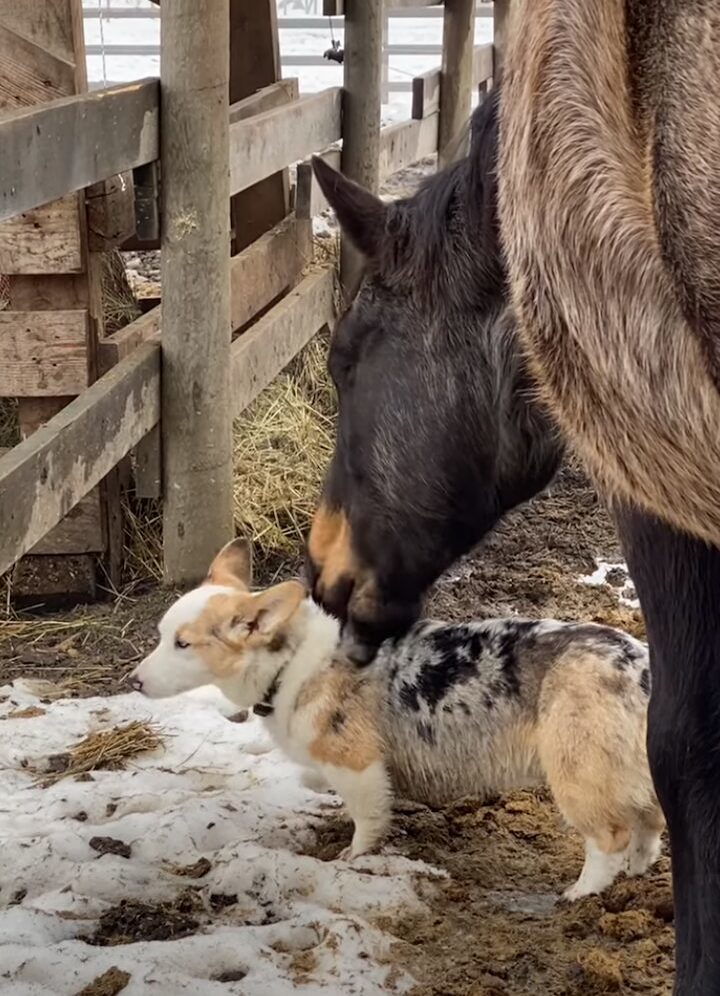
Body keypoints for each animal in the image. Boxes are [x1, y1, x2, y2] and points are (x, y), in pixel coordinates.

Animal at [131, 540, 664, 900]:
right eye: (161, 635)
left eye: (183, 643)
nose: (133, 682)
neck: (290, 662)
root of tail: (640, 667)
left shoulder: (358, 767)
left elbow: (367, 820)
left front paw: (351, 859)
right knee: (648, 827)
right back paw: (636, 875)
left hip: (577, 775)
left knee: (610, 838)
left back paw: (581, 894)